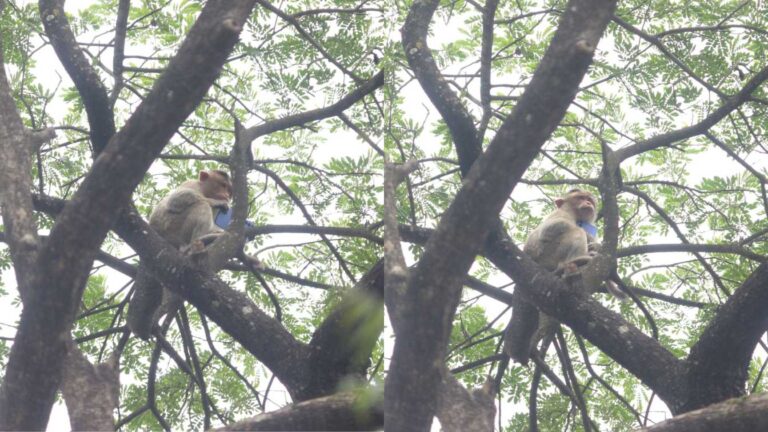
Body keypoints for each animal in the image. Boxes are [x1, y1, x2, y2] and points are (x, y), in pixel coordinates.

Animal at [127, 170, 233, 340]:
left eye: (229, 189)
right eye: (222, 185)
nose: (226, 195)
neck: (204, 189)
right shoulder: (192, 184)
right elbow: (177, 200)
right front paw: (216, 202)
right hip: (172, 227)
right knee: (200, 205)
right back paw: (193, 244)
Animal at [504, 189, 626, 364]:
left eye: (589, 199)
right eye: (580, 198)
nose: (587, 203)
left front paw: (595, 245)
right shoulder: (562, 214)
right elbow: (551, 228)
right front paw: (589, 239)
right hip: (550, 254)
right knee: (575, 231)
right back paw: (577, 259)